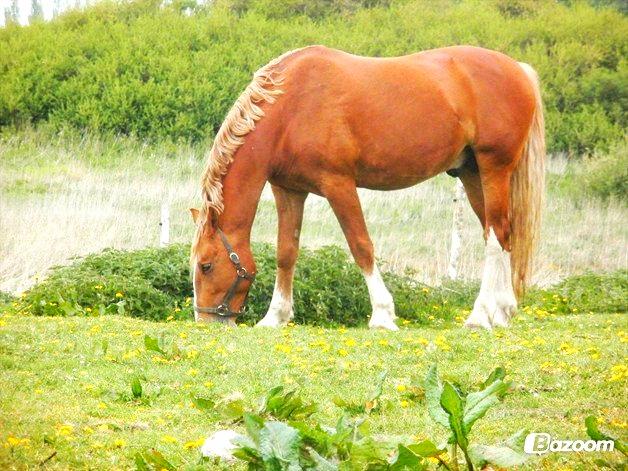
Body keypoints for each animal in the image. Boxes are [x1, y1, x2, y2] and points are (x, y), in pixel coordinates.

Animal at [189, 45, 544, 332]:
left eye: (206, 265)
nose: (204, 321)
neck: (290, 107)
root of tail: (518, 69)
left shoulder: (339, 185)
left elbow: (360, 245)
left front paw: (383, 315)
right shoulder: (288, 190)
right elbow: (286, 252)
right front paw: (275, 317)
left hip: (494, 169)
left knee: (495, 237)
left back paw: (480, 316)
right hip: (471, 174)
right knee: (500, 233)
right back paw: (503, 312)